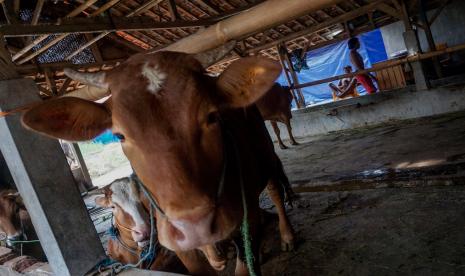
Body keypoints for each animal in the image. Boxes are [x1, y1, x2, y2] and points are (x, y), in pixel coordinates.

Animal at [21, 46, 294, 274]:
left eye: (212, 116)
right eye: (119, 135)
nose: (194, 228)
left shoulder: (247, 219)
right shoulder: (180, 247)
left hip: (265, 153)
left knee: (275, 190)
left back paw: (287, 236)